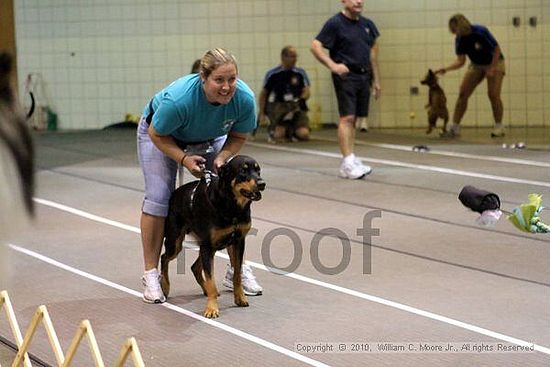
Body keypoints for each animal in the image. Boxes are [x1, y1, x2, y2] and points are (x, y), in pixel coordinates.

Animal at [161, 155, 266, 320]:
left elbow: (237, 273)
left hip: (211, 246)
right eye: (243, 171)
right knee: (164, 257)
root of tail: (176, 192)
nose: (262, 184)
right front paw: (211, 308)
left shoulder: (238, 242)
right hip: (176, 241)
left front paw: (240, 297)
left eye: (258, 170)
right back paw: (165, 287)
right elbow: (211, 279)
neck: (232, 206)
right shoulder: (208, 245)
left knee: (195, 267)